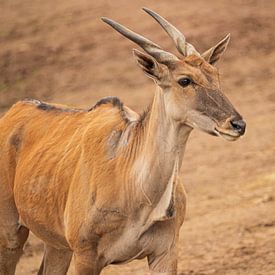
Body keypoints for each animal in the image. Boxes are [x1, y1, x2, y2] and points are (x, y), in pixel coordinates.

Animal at [0, 7, 246, 274]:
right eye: (185, 80)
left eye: (215, 75)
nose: (237, 124)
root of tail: (14, 110)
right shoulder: (86, 256)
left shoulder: (165, 252)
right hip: (11, 235)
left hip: (57, 245)